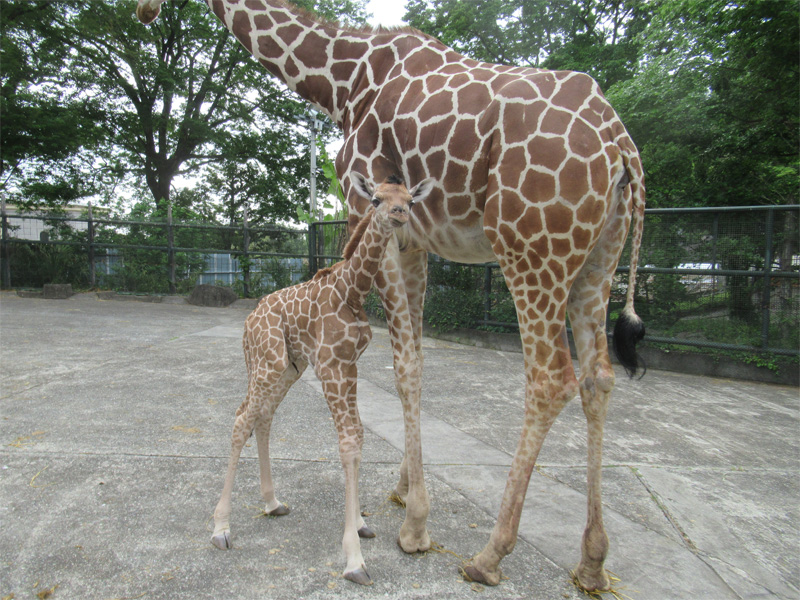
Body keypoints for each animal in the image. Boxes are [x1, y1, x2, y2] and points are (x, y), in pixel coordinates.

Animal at [211, 171, 432, 584]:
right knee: (241, 418)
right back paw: (220, 528)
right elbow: (348, 443)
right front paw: (354, 559)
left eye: (410, 200)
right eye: (376, 199)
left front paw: (360, 523)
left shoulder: (350, 365)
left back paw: (272, 502)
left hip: (289, 366)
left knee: (262, 417)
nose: (398, 214)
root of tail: (248, 322)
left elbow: (358, 435)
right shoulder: (331, 365)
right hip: (267, 363)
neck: (353, 289)